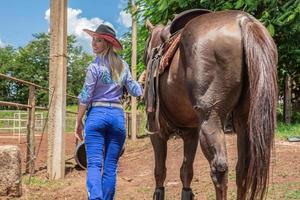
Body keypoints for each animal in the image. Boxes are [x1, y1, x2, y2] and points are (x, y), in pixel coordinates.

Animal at [144, 9, 278, 200]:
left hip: (210, 119)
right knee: (242, 169)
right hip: (243, 119)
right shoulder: (191, 133)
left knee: (219, 169)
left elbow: (160, 171)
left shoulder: (156, 132)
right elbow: (186, 171)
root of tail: (243, 21)